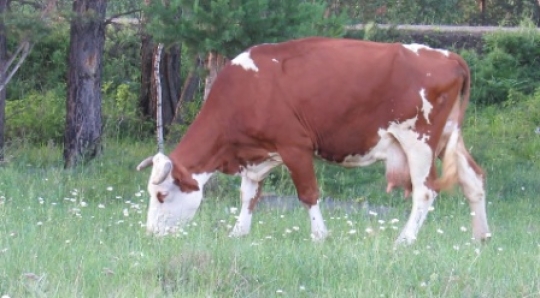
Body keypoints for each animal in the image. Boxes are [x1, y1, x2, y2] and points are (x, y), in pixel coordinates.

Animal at [137, 36, 492, 244]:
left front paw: (320, 236)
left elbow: (308, 194)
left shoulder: (295, 146)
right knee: (473, 179)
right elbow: (249, 194)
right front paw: (238, 232)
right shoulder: (257, 154)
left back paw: (403, 241)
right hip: (448, 137)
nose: (151, 234)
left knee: (425, 191)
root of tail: (447, 56)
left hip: (419, 140)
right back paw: (481, 237)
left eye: (162, 196)